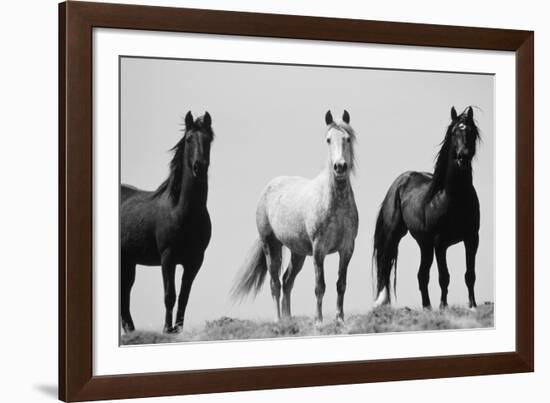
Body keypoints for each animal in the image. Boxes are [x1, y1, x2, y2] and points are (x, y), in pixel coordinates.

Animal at [121, 111, 216, 334]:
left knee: (125, 294)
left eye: (208, 139)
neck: (181, 211)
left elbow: (183, 297)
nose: (199, 166)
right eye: (189, 139)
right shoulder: (168, 258)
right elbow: (169, 296)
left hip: (128, 262)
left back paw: (131, 330)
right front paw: (167, 329)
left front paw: (178, 329)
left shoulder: (195, 261)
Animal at [234, 109, 360, 324]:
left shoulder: (347, 249)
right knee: (275, 283)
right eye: (328, 139)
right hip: (271, 246)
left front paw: (339, 319)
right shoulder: (319, 250)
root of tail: (268, 188)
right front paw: (318, 321)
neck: (335, 203)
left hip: (298, 253)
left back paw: (288, 319)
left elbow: (340, 284)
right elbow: (320, 286)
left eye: (347, 138)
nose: (340, 167)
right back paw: (279, 320)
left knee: (287, 281)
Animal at [376, 106, 484, 310]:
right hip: (395, 235)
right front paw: (443, 307)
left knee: (422, 275)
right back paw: (382, 304)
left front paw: (472, 305)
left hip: (424, 244)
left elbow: (470, 275)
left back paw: (427, 307)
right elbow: (444, 277)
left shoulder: (472, 239)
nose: (463, 157)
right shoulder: (440, 243)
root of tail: (399, 182)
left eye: (472, 131)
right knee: (385, 267)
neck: (453, 198)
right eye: (454, 132)